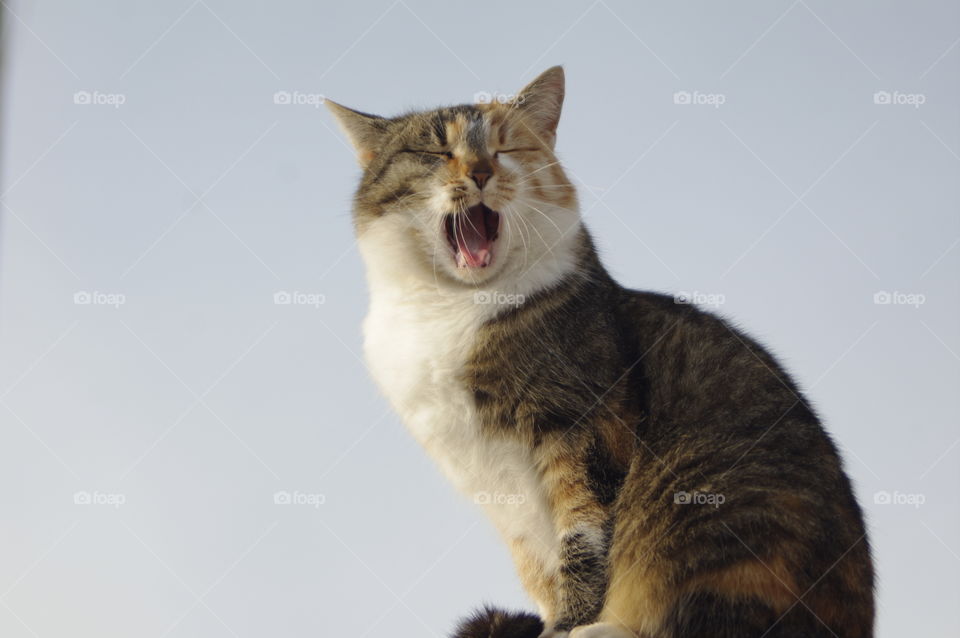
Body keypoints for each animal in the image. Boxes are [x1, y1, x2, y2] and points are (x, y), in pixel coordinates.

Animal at [330, 66, 876, 638]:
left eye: (505, 147)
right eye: (435, 151)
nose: (480, 172)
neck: (449, 309)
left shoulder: (584, 424)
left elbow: (584, 536)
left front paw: (569, 625)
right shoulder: (493, 488)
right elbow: (540, 564)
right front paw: (552, 619)